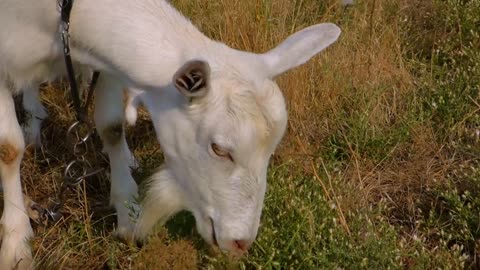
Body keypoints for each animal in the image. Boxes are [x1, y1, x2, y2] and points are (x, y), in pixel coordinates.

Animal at [0, 0, 342, 268]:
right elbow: (9, 148)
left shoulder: (106, 62)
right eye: (219, 148)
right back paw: (33, 121)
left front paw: (128, 215)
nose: (240, 242)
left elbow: (111, 126)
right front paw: (16, 243)